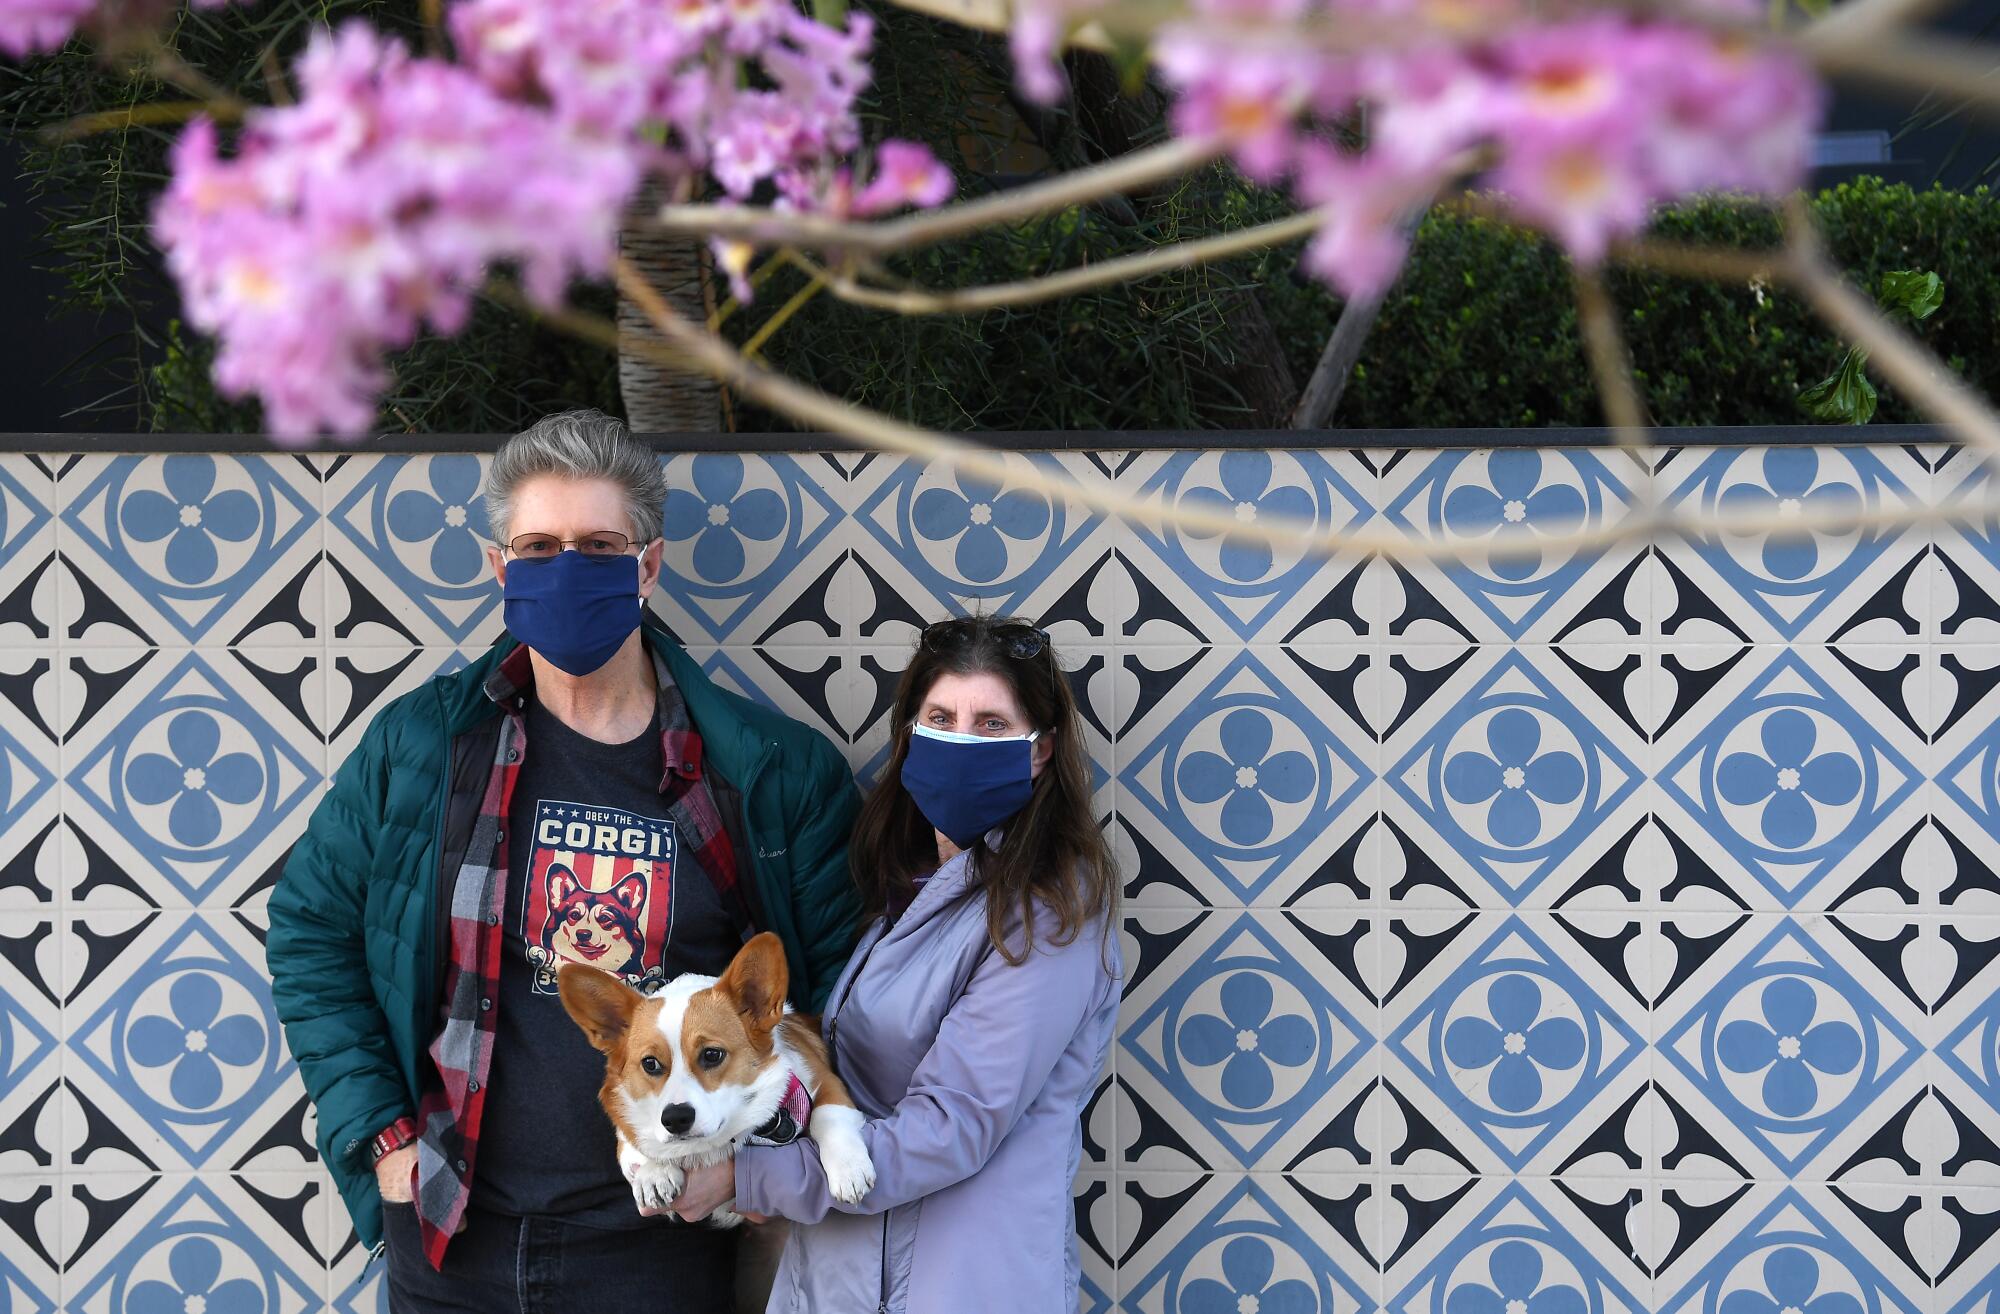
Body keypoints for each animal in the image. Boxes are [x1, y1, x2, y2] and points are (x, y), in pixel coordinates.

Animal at [564, 932, 876, 1216]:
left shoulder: (825, 1081)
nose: (675, 1119)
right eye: (650, 1063)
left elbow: (828, 1115)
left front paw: (848, 1169)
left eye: (712, 1055)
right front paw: (653, 1173)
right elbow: (630, 1145)